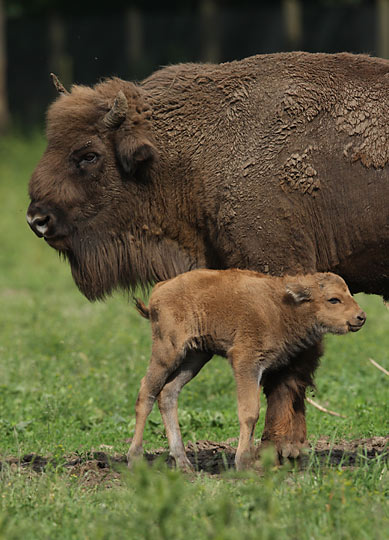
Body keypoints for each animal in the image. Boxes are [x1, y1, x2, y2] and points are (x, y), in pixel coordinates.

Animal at [126, 268, 364, 468]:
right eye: (333, 299)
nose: (361, 317)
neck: (283, 307)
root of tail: (160, 288)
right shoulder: (246, 362)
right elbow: (249, 412)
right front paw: (243, 463)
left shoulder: (256, 369)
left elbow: (255, 412)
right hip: (167, 352)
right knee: (146, 393)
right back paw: (135, 458)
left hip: (194, 358)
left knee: (168, 393)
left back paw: (184, 463)